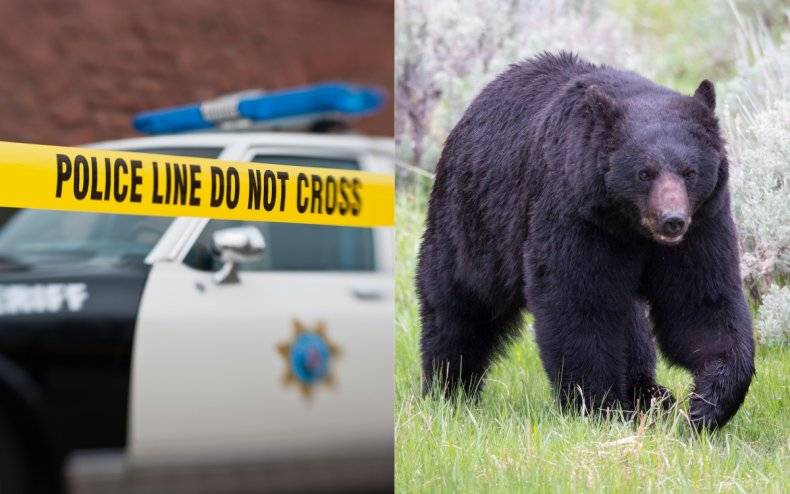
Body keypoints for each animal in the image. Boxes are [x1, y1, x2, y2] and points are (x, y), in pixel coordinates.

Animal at [416, 52, 754, 429]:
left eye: (689, 171)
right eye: (645, 172)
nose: (672, 221)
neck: (629, 227)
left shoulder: (702, 226)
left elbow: (700, 303)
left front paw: (708, 404)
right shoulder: (576, 215)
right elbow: (577, 301)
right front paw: (598, 406)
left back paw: (650, 394)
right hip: (475, 222)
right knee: (458, 303)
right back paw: (449, 388)